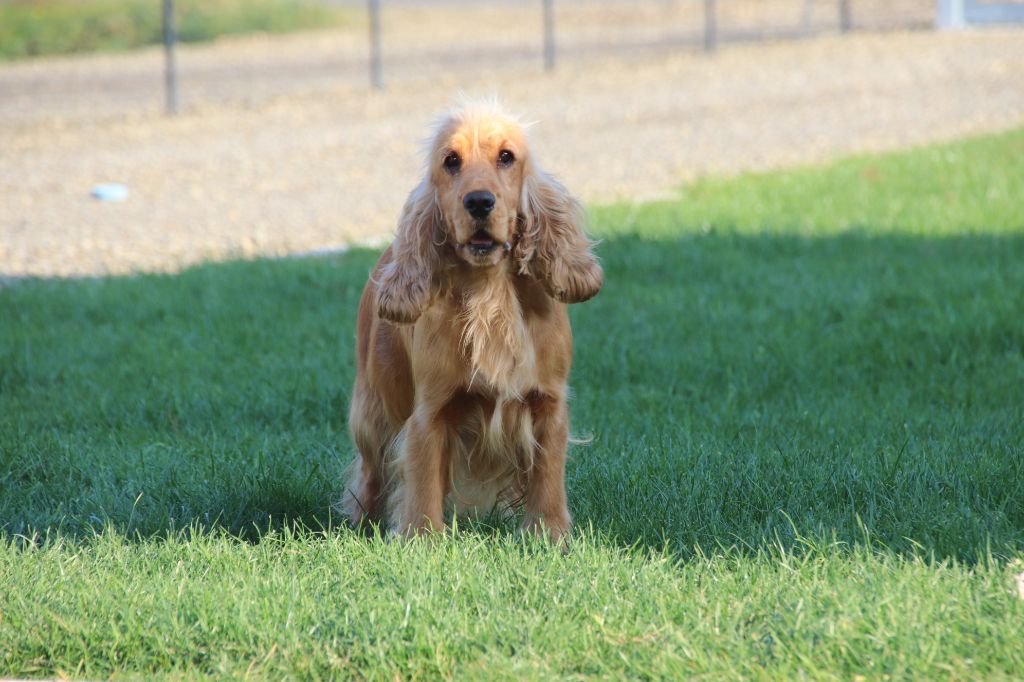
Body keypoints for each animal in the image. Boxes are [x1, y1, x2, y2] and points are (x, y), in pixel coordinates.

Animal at [346, 100, 598, 540]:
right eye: (451, 161)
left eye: (506, 156)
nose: (479, 202)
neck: (489, 292)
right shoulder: (429, 413)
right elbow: (423, 482)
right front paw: (422, 539)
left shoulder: (549, 404)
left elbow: (548, 477)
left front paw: (550, 536)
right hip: (375, 409)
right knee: (370, 471)